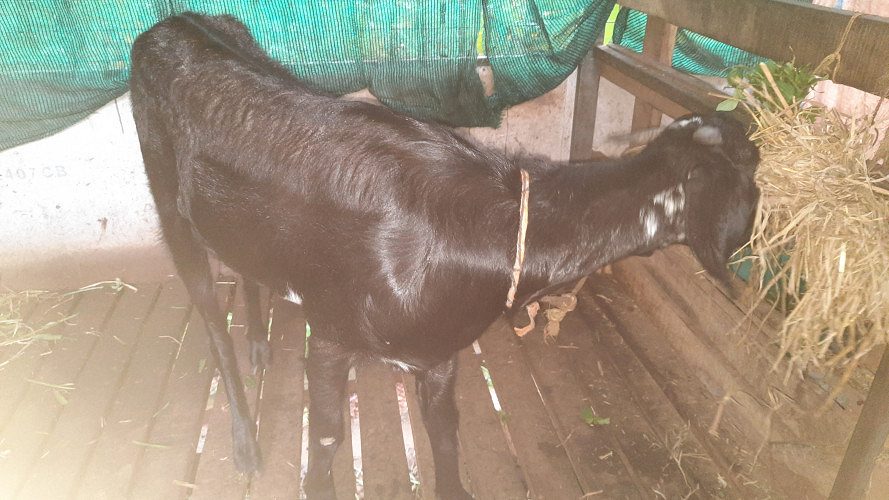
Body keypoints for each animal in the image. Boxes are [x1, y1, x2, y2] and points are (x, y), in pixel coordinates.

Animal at [130, 13, 759, 499]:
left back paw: (260, 346)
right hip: (170, 207)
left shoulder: (438, 353)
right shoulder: (330, 334)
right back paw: (244, 441)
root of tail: (168, 25)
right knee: (211, 320)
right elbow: (328, 437)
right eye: (751, 179)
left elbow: (446, 435)